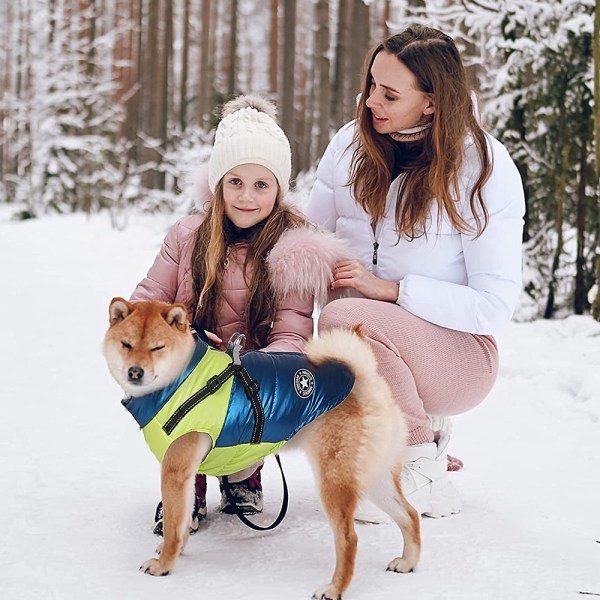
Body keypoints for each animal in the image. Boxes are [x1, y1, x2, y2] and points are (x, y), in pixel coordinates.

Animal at [103, 298, 420, 596]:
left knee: (349, 539)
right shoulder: (188, 474)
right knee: (410, 515)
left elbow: (172, 525)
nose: (135, 372)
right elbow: (182, 521)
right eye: (126, 344)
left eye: (157, 347)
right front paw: (178, 549)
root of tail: (365, 380)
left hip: (335, 480)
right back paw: (408, 562)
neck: (184, 380)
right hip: (374, 476)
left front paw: (164, 564)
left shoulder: (175, 470)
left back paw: (334, 589)